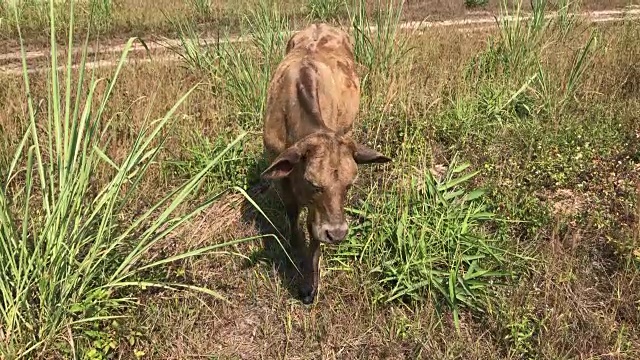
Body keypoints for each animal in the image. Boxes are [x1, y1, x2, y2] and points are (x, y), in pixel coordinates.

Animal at [260, 23, 390, 304]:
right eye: (312, 183)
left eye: (349, 185)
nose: (337, 233)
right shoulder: (281, 175)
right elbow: (292, 214)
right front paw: (294, 247)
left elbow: (313, 229)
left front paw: (310, 283)